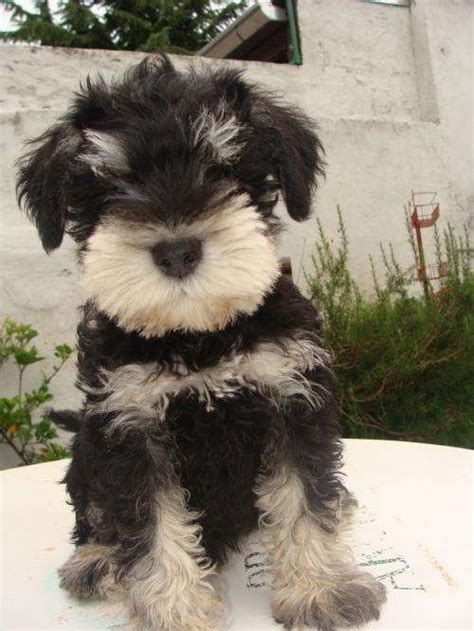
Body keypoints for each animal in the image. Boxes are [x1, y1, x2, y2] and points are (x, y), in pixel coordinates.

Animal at [17, 55, 386, 631]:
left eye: (222, 168)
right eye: (113, 183)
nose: (177, 251)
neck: (198, 336)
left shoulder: (292, 395)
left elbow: (302, 496)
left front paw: (319, 590)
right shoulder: (130, 425)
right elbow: (148, 526)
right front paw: (172, 610)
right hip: (87, 444)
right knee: (94, 513)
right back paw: (97, 559)